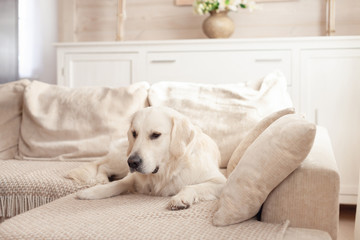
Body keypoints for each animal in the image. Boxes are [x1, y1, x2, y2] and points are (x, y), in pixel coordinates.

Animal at [76, 107, 225, 210]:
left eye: (155, 135)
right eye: (134, 133)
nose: (132, 162)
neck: (168, 170)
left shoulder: (219, 182)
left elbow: (189, 186)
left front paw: (180, 198)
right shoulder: (134, 176)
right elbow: (119, 183)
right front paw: (93, 191)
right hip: (123, 157)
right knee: (102, 165)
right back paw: (101, 179)